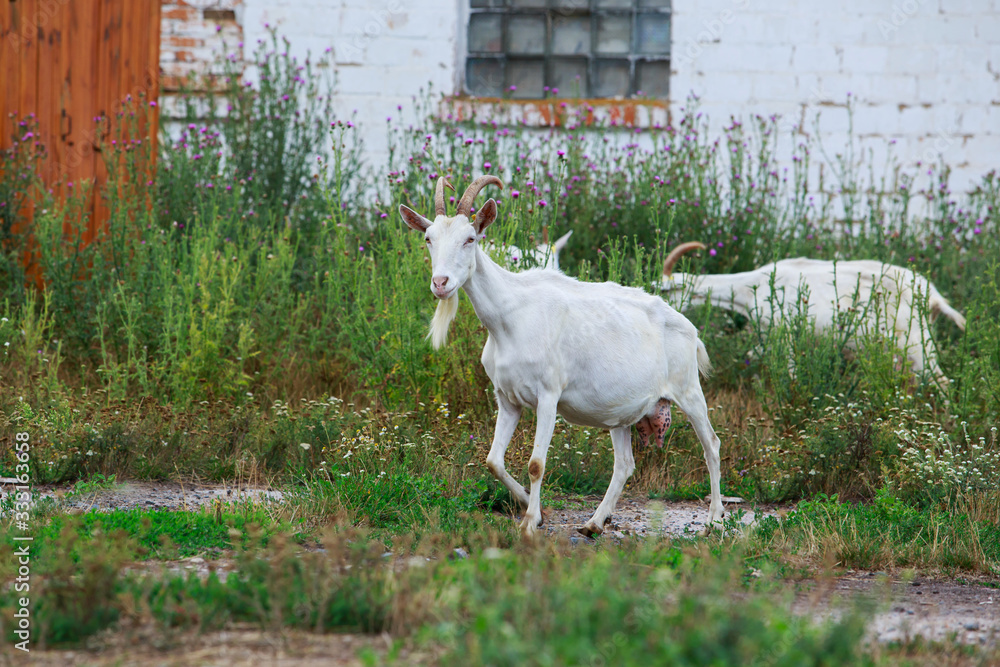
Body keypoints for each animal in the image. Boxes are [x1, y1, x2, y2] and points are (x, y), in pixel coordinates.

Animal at [400, 177, 725, 540]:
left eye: (470, 239)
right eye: (428, 239)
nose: (440, 283)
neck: (509, 318)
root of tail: (690, 329)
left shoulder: (548, 395)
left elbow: (536, 464)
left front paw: (529, 522)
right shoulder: (506, 398)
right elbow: (493, 461)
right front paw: (534, 510)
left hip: (688, 389)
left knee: (711, 445)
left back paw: (714, 519)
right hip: (622, 411)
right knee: (624, 464)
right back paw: (594, 523)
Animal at [660, 242, 966, 388]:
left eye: (663, 290)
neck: (749, 287)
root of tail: (934, 297)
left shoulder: (783, 334)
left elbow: (790, 372)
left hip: (916, 344)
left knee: (941, 381)